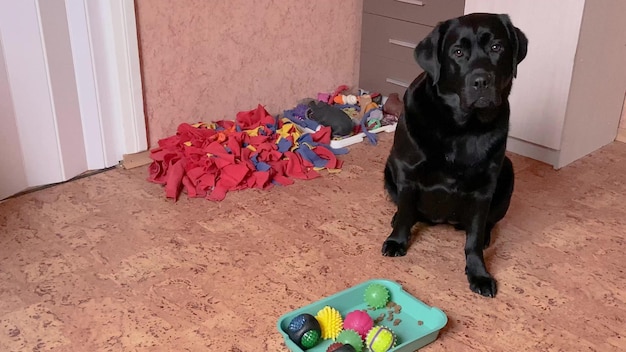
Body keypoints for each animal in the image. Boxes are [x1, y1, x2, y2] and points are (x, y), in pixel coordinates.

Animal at [380, 13, 528, 296]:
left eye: (497, 47)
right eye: (458, 52)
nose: (481, 81)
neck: (462, 127)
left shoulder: (484, 188)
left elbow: (474, 238)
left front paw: (479, 273)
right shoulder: (407, 170)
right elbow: (405, 213)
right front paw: (396, 241)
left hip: (508, 173)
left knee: (486, 224)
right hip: (389, 169)